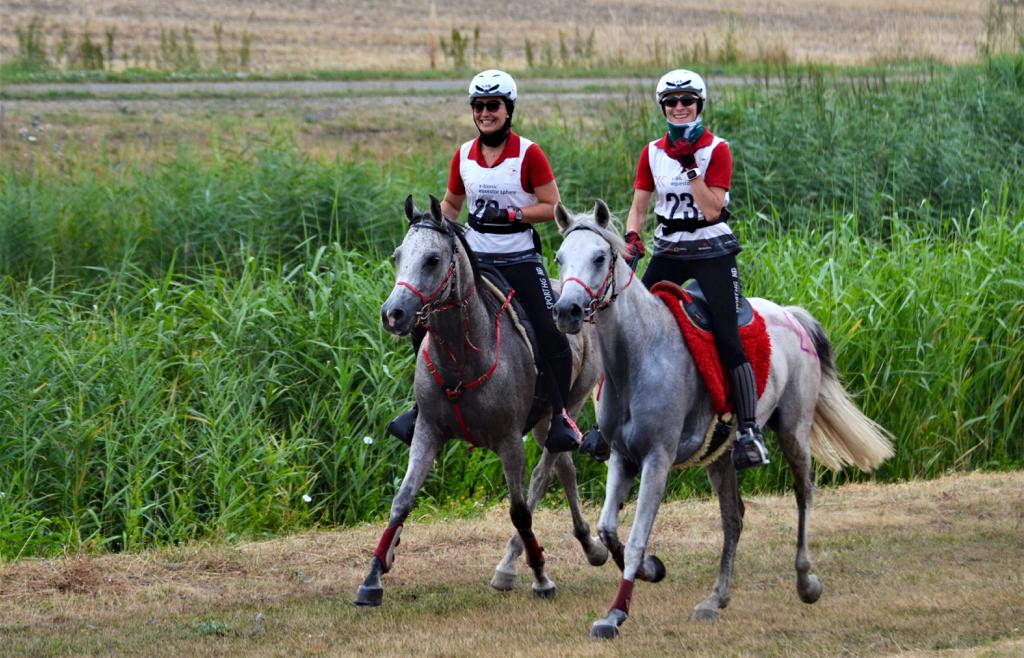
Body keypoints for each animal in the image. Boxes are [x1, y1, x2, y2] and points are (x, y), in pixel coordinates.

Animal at [354, 195, 608, 607]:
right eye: (398, 255)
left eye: (432, 260)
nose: (393, 314)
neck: (462, 355)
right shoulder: (427, 431)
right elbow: (402, 500)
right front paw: (373, 576)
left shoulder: (509, 441)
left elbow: (520, 511)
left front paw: (541, 578)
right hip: (542, 421)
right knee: (566, 468)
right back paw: (589, 545)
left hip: (568, 405)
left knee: (547, 470)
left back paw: (522, 562)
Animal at [551, 200, 894, 639]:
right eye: (560, 258)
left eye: (598, 257)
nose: (566, 311)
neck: (638, 356)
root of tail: (790, 314)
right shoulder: (622, 456)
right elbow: (609, 529)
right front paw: (652, 570)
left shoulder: (657, 459)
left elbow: (637, 537)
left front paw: (615, 614)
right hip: (719, 456)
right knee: (734, 518)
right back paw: (716, 599)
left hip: (793, 431)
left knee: (804, 494)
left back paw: (807, 582)